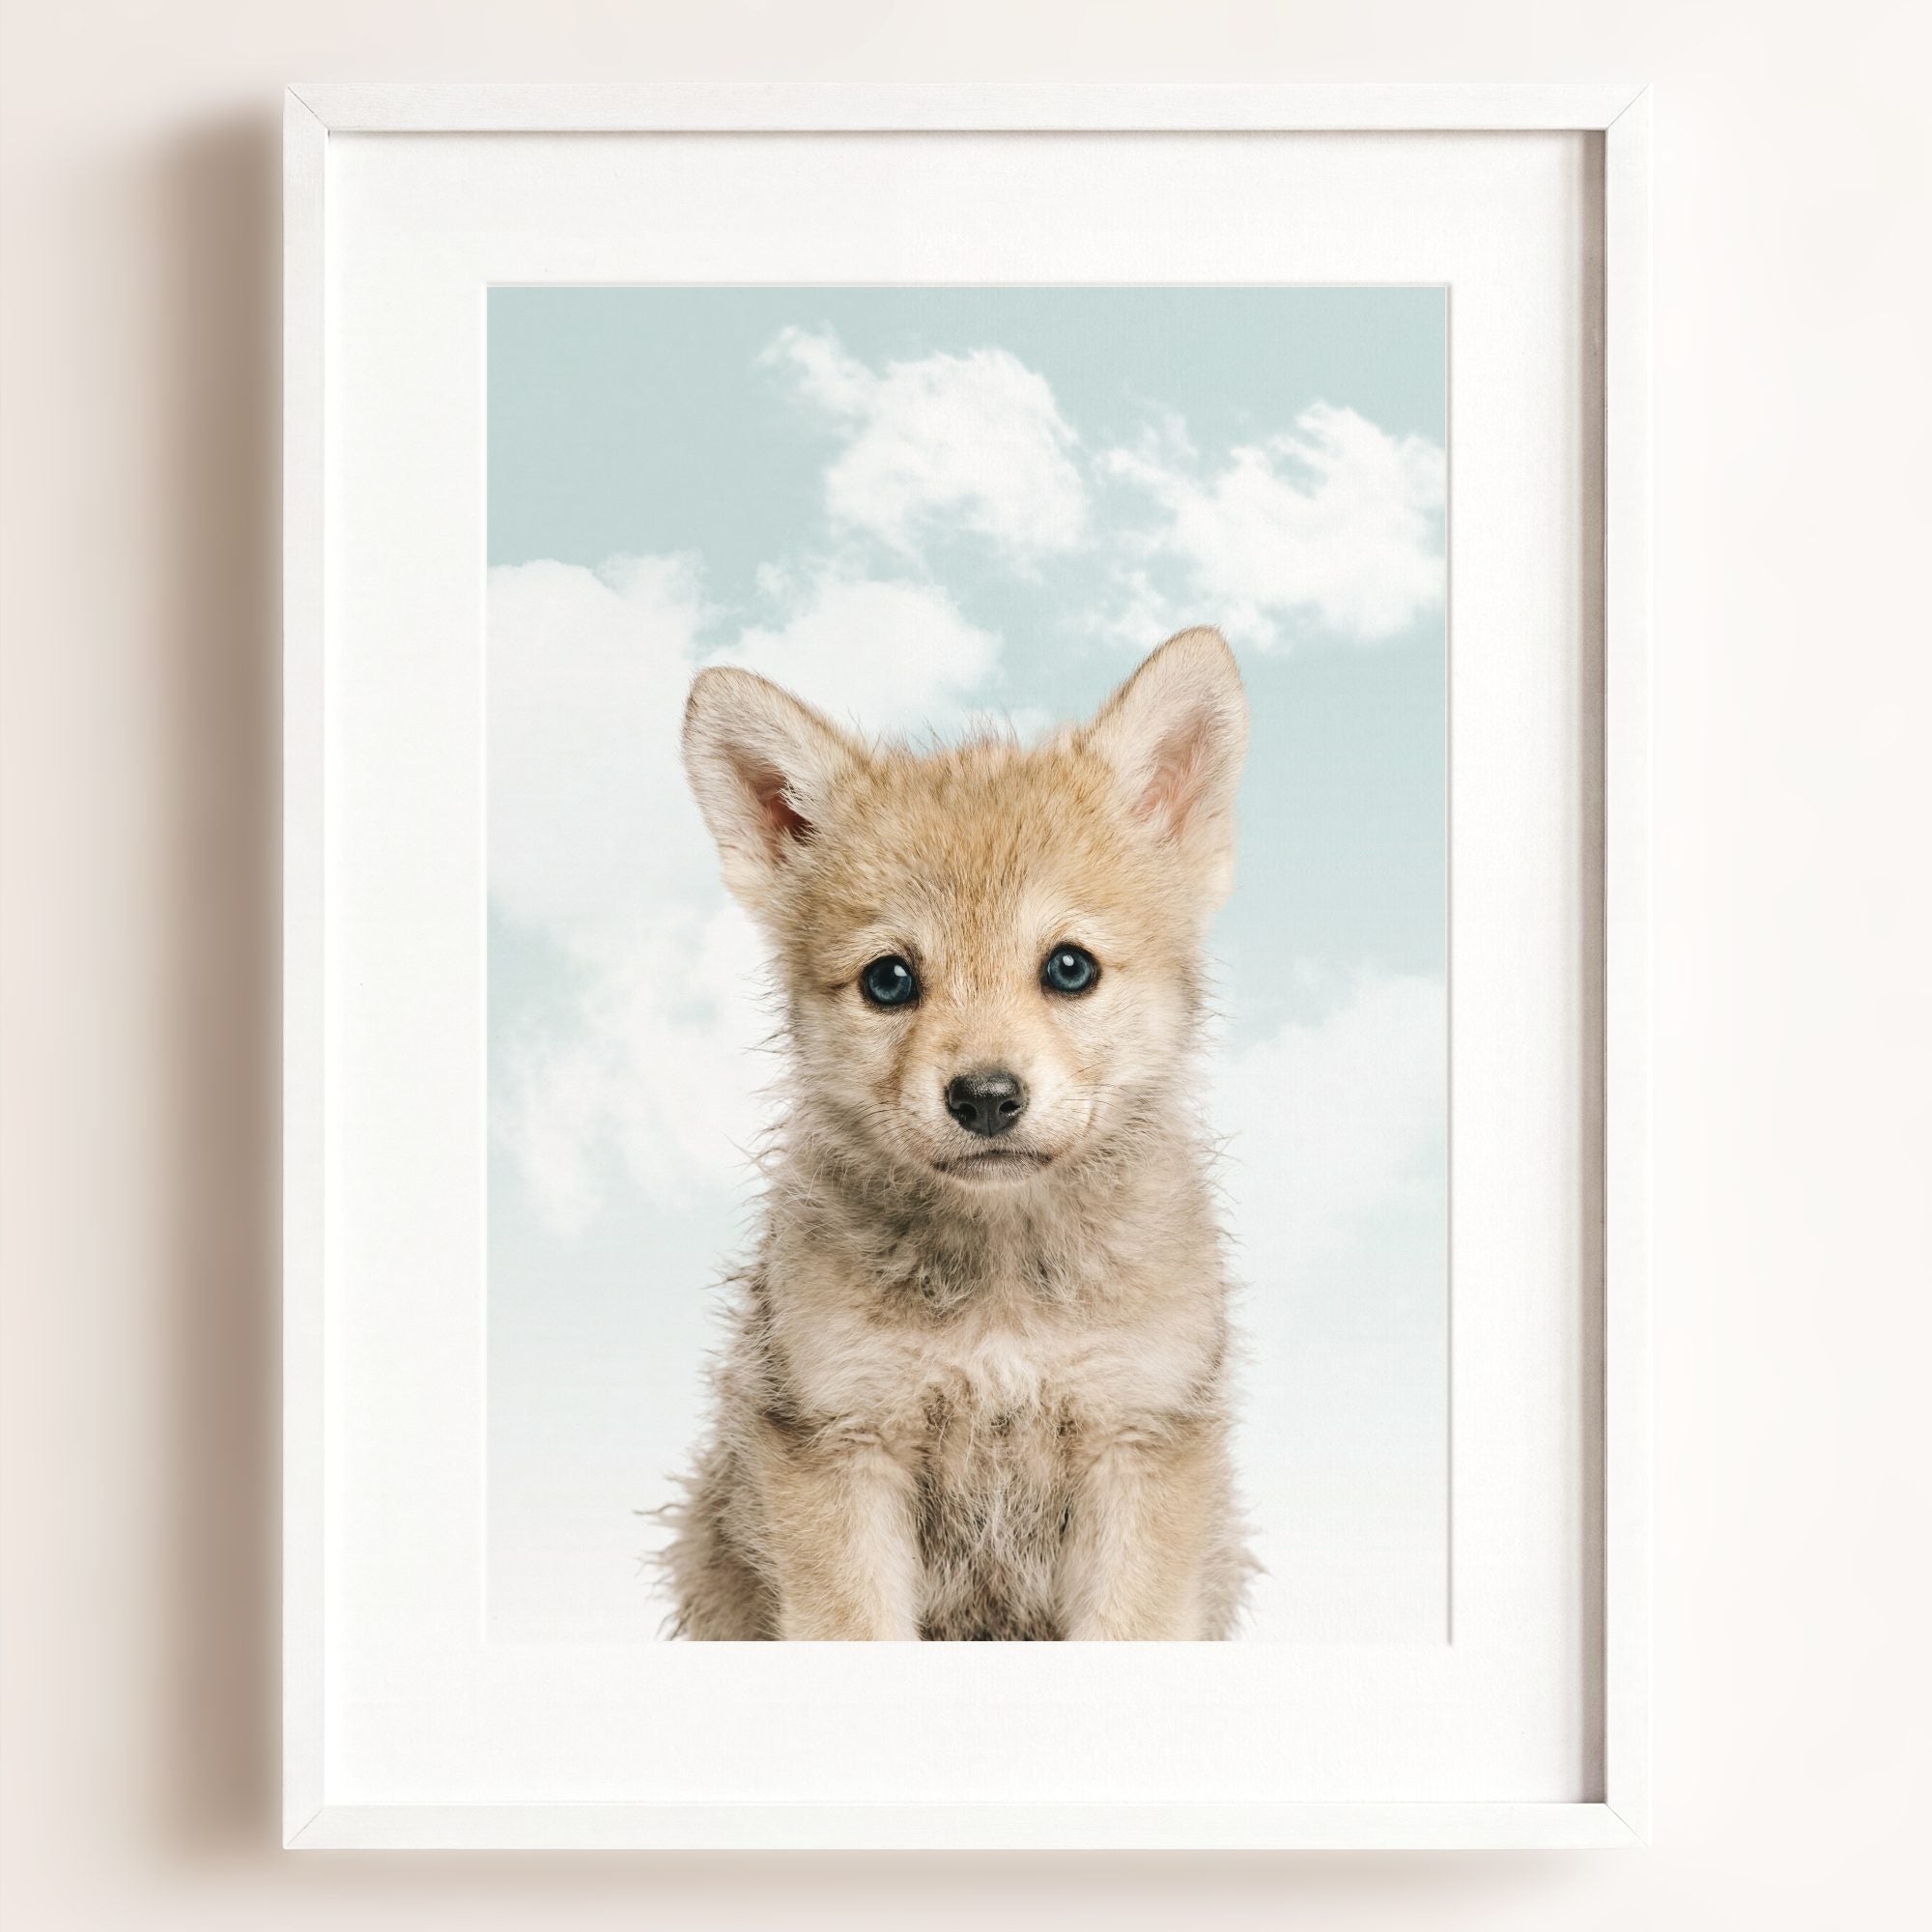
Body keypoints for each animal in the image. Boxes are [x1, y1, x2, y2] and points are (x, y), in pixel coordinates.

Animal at [661, 626, 1253, 1639]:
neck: (1002, 1297)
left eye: (1069, 968)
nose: (984, 1098)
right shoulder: (841, 1445)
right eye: (889, 980)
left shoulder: (1138, 1443)